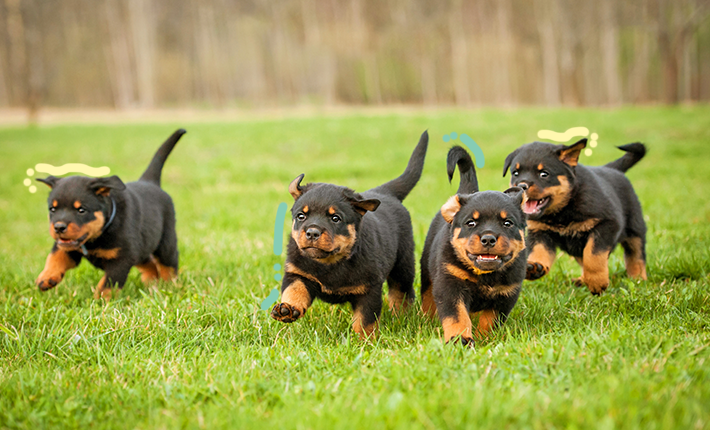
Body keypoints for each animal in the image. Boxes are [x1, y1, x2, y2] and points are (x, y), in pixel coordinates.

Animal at [35, 129, 186, 300]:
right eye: (52, 209)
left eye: (81, 210)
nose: (59, 227)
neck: (99, 234)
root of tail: (150, 182)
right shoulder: (68, 246)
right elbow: (55, 256)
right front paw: (46, 277)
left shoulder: (122, 259)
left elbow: (108, 284)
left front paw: (99, 302)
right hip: (142, 246)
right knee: (149, 263)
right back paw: (151, 282)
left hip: (165, 243)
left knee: (168, 265)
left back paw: (169, 286)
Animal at [272, 131, 428, 340]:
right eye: (301, 216)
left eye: (335, 218)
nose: (312, 232)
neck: (330, 263)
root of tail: (385, 193)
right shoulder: (297, 273)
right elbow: (294, 290)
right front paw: (287, 309)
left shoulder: (369, 289)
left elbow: (365, 320)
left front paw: (364, 341)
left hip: (403, 264)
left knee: (401, 292)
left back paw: (402, 316)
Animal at [422, 146, 528, 344]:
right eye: (470, 223)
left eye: (507, 223)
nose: (488, 239)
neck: (485, 276)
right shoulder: (450, 285)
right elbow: (457, 316)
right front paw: (459, 339)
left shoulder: (506, 294)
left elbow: (490, 320)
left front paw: (484, 339)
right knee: (427, 296)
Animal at [504, 139, 648, 294]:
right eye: (516, 173)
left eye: (544, 174)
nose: (521, 186)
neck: (562, 210)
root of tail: (612, 169)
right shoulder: (539, 231)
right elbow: (539, 250)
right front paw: (535, 266)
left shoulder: (607, 223)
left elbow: (593, 255)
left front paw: (597, 282)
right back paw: (582, 280)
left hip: (635, 228)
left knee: (636, 255)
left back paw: (638, 279)